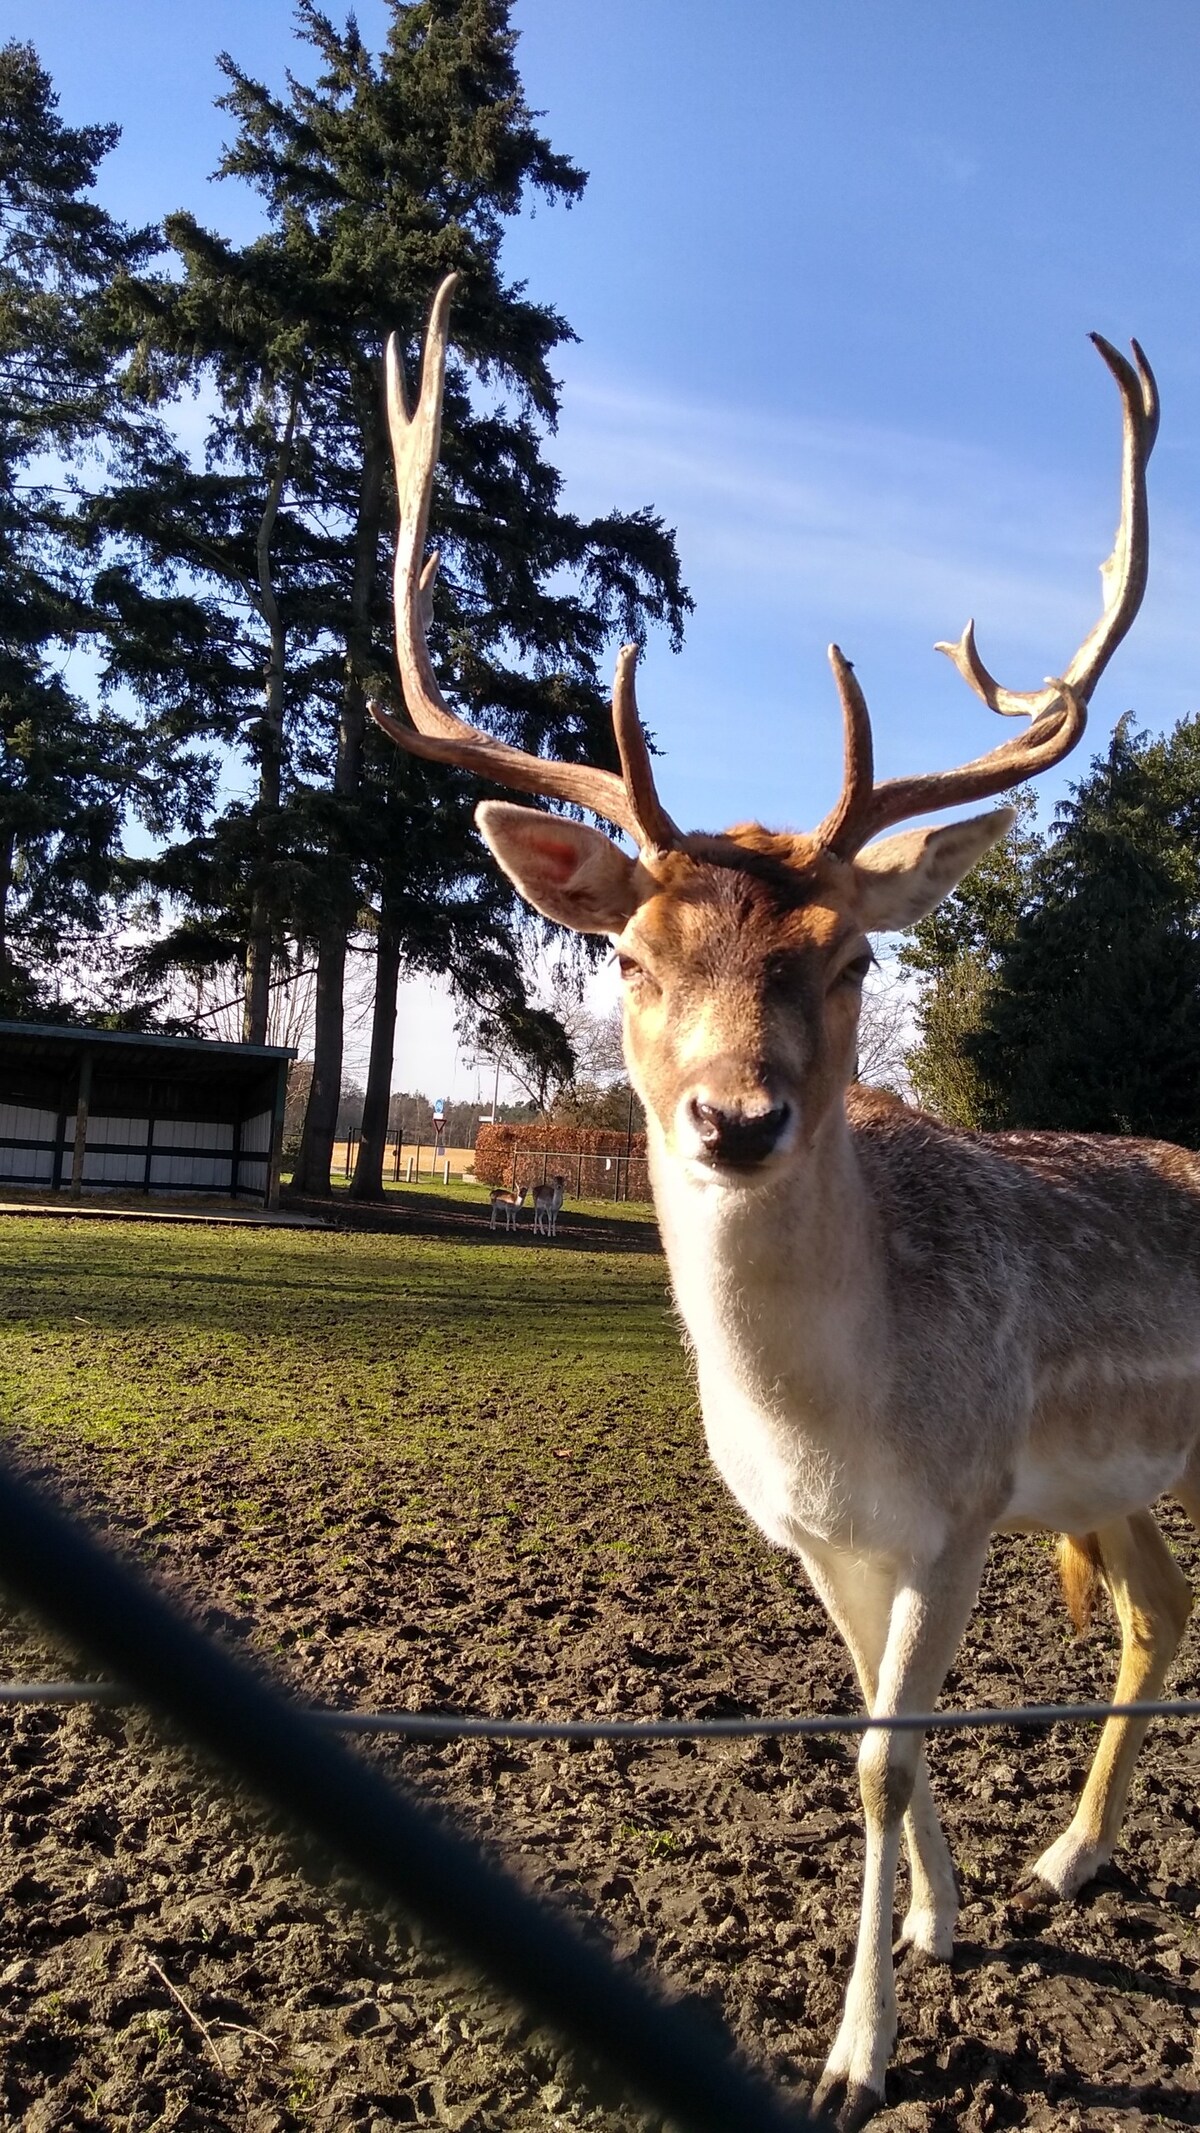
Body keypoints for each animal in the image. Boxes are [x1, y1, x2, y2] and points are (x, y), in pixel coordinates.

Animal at [370, 275, 1193, 2124]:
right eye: (630, 950)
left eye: (854, 954)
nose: (736, 1118)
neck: (829, 1420)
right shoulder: (822, 1533)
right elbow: (871, 1734)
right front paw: (946, 1927)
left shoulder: (965, 1497)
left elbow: (886, 1758)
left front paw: (856, 2052)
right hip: (1113, 1476)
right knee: (1158, 1610)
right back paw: (1070, 1856)